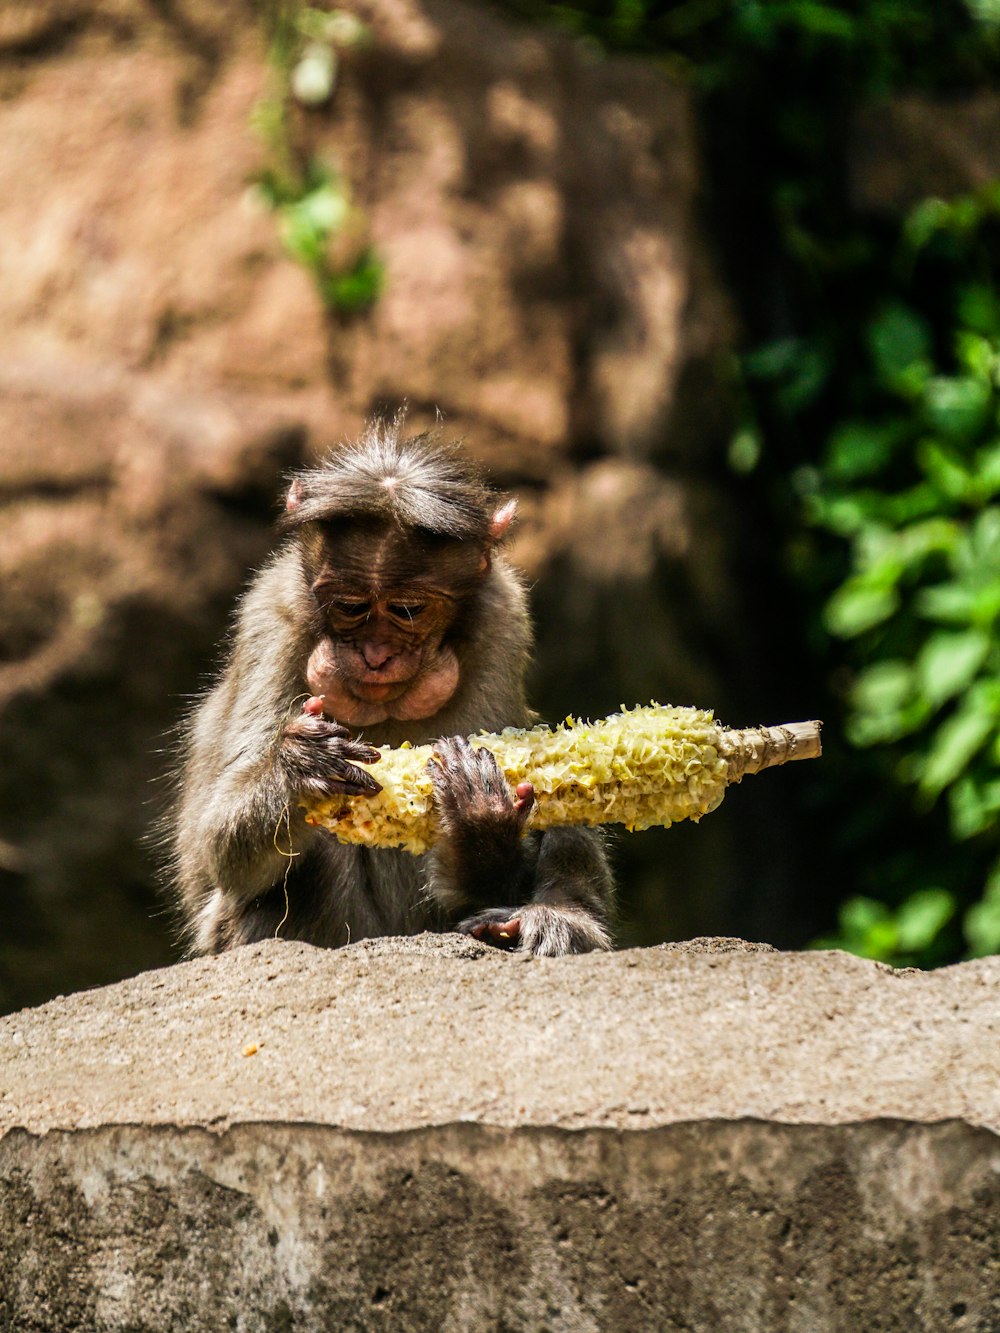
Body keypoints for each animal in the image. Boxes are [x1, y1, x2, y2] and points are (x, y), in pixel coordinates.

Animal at [168, 415, 616, 959]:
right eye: (350, 606)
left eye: (408, 610)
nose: (376, 655)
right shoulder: (272, 614)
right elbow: (217, 847)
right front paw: (298, 766)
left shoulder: (503, 619)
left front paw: (483, 825)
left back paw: (555, 919)